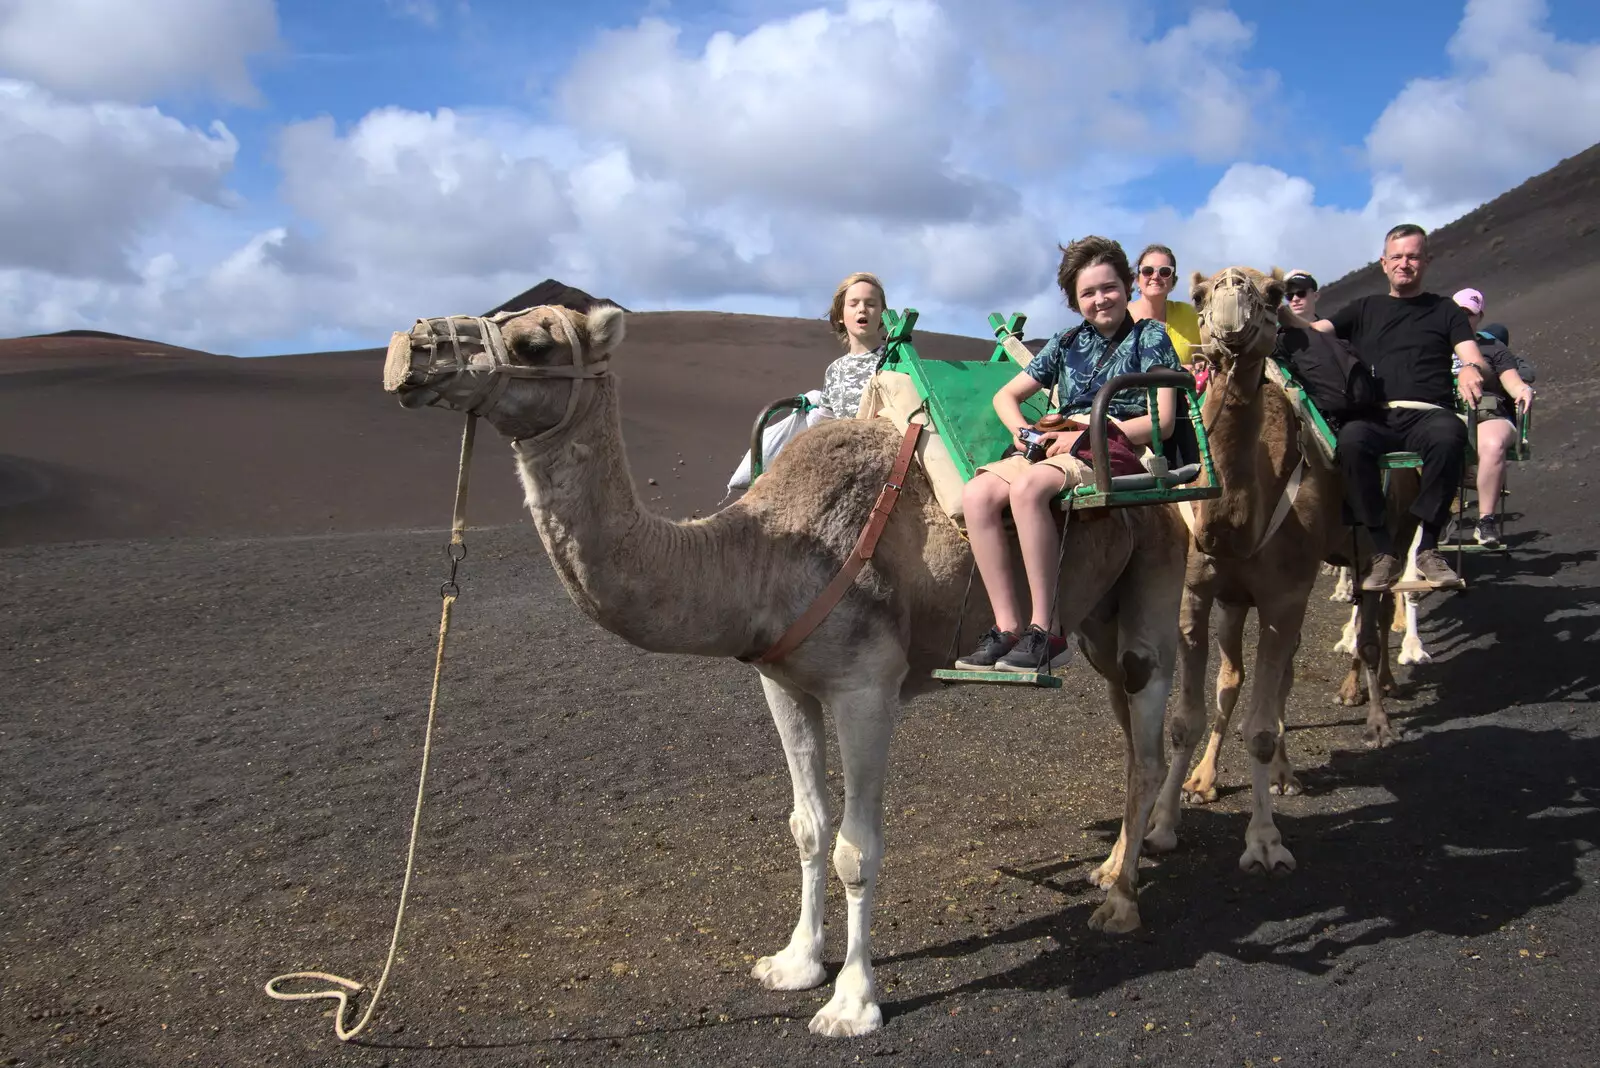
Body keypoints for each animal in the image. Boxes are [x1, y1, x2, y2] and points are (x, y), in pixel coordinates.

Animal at [380, 303, 1196, 1036]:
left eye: (536, 342)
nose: (412, 349)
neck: (766, 557)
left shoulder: (868, 688)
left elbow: (856, 850)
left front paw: (852, 1004)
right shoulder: (782, 680)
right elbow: (808, 826)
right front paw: (795, 963)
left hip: (1156, 580)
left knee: (1148, 727)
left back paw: (1121, 902)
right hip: (1093, 620)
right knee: (1126, 726)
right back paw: (1109, 867)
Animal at [1145, 267, 1420, 876]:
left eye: (1271, 295)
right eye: (1198, 293)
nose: (1232, 290)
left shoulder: (1286, 594)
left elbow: (1263, 726)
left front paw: (1265, 842)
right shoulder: (1200, 593)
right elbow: (1191, 715)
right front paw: (1166, 822)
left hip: (1384, 538)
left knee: (1370, 620)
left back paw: (1374, 719)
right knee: (1249, 679)